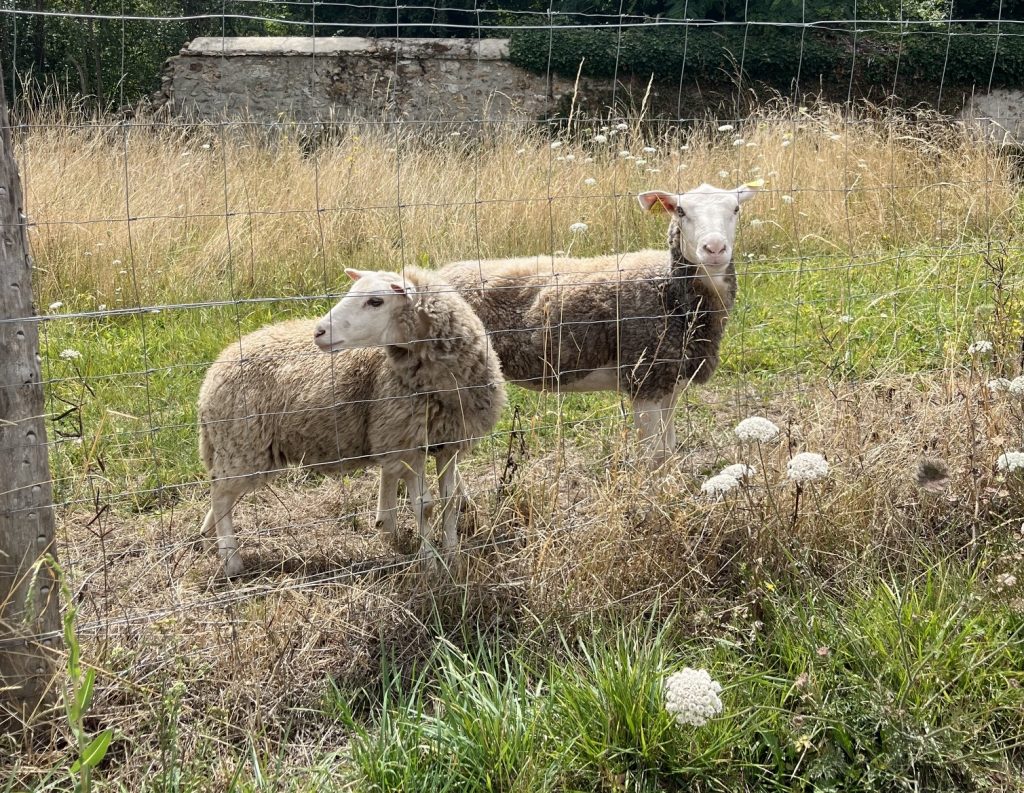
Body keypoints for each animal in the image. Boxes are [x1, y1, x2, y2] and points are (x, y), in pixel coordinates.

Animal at [197, 266, 506, 577]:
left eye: (376, 301)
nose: (319, 332)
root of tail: (214, 370)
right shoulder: (405, 444)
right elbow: (424, 506)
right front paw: (430, 565)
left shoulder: (449, 441)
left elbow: (450, 501)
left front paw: (453, 558)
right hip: (243, 442)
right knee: (220, 493)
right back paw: (231, 561)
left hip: (239, 446)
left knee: (222, 492)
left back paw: (209, 536)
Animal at [440, 182, 759, 467]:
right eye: (680, 211)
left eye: (736, 208)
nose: (714, 248)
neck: (669, 292)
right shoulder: (643, 378)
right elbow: (652, 456)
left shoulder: (669, 380)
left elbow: (667, 450)